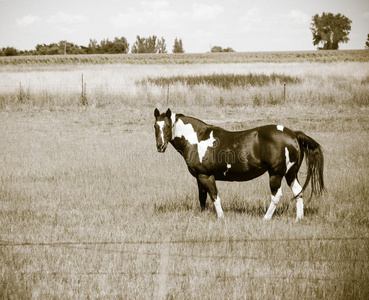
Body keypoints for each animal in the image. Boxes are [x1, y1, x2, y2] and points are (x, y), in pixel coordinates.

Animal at [152, 108, 322, 220]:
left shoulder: (207, 176)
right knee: (298, 192)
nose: (160, 146)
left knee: (276, 196)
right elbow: (202, 197)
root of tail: (293, 134)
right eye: (155, 126)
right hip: (290, 174)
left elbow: (215, 196)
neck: (197, 139)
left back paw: (266, 218)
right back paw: (299, 218)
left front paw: (221, 218)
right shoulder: (200, 177)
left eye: (168, 126)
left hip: (276, 174)